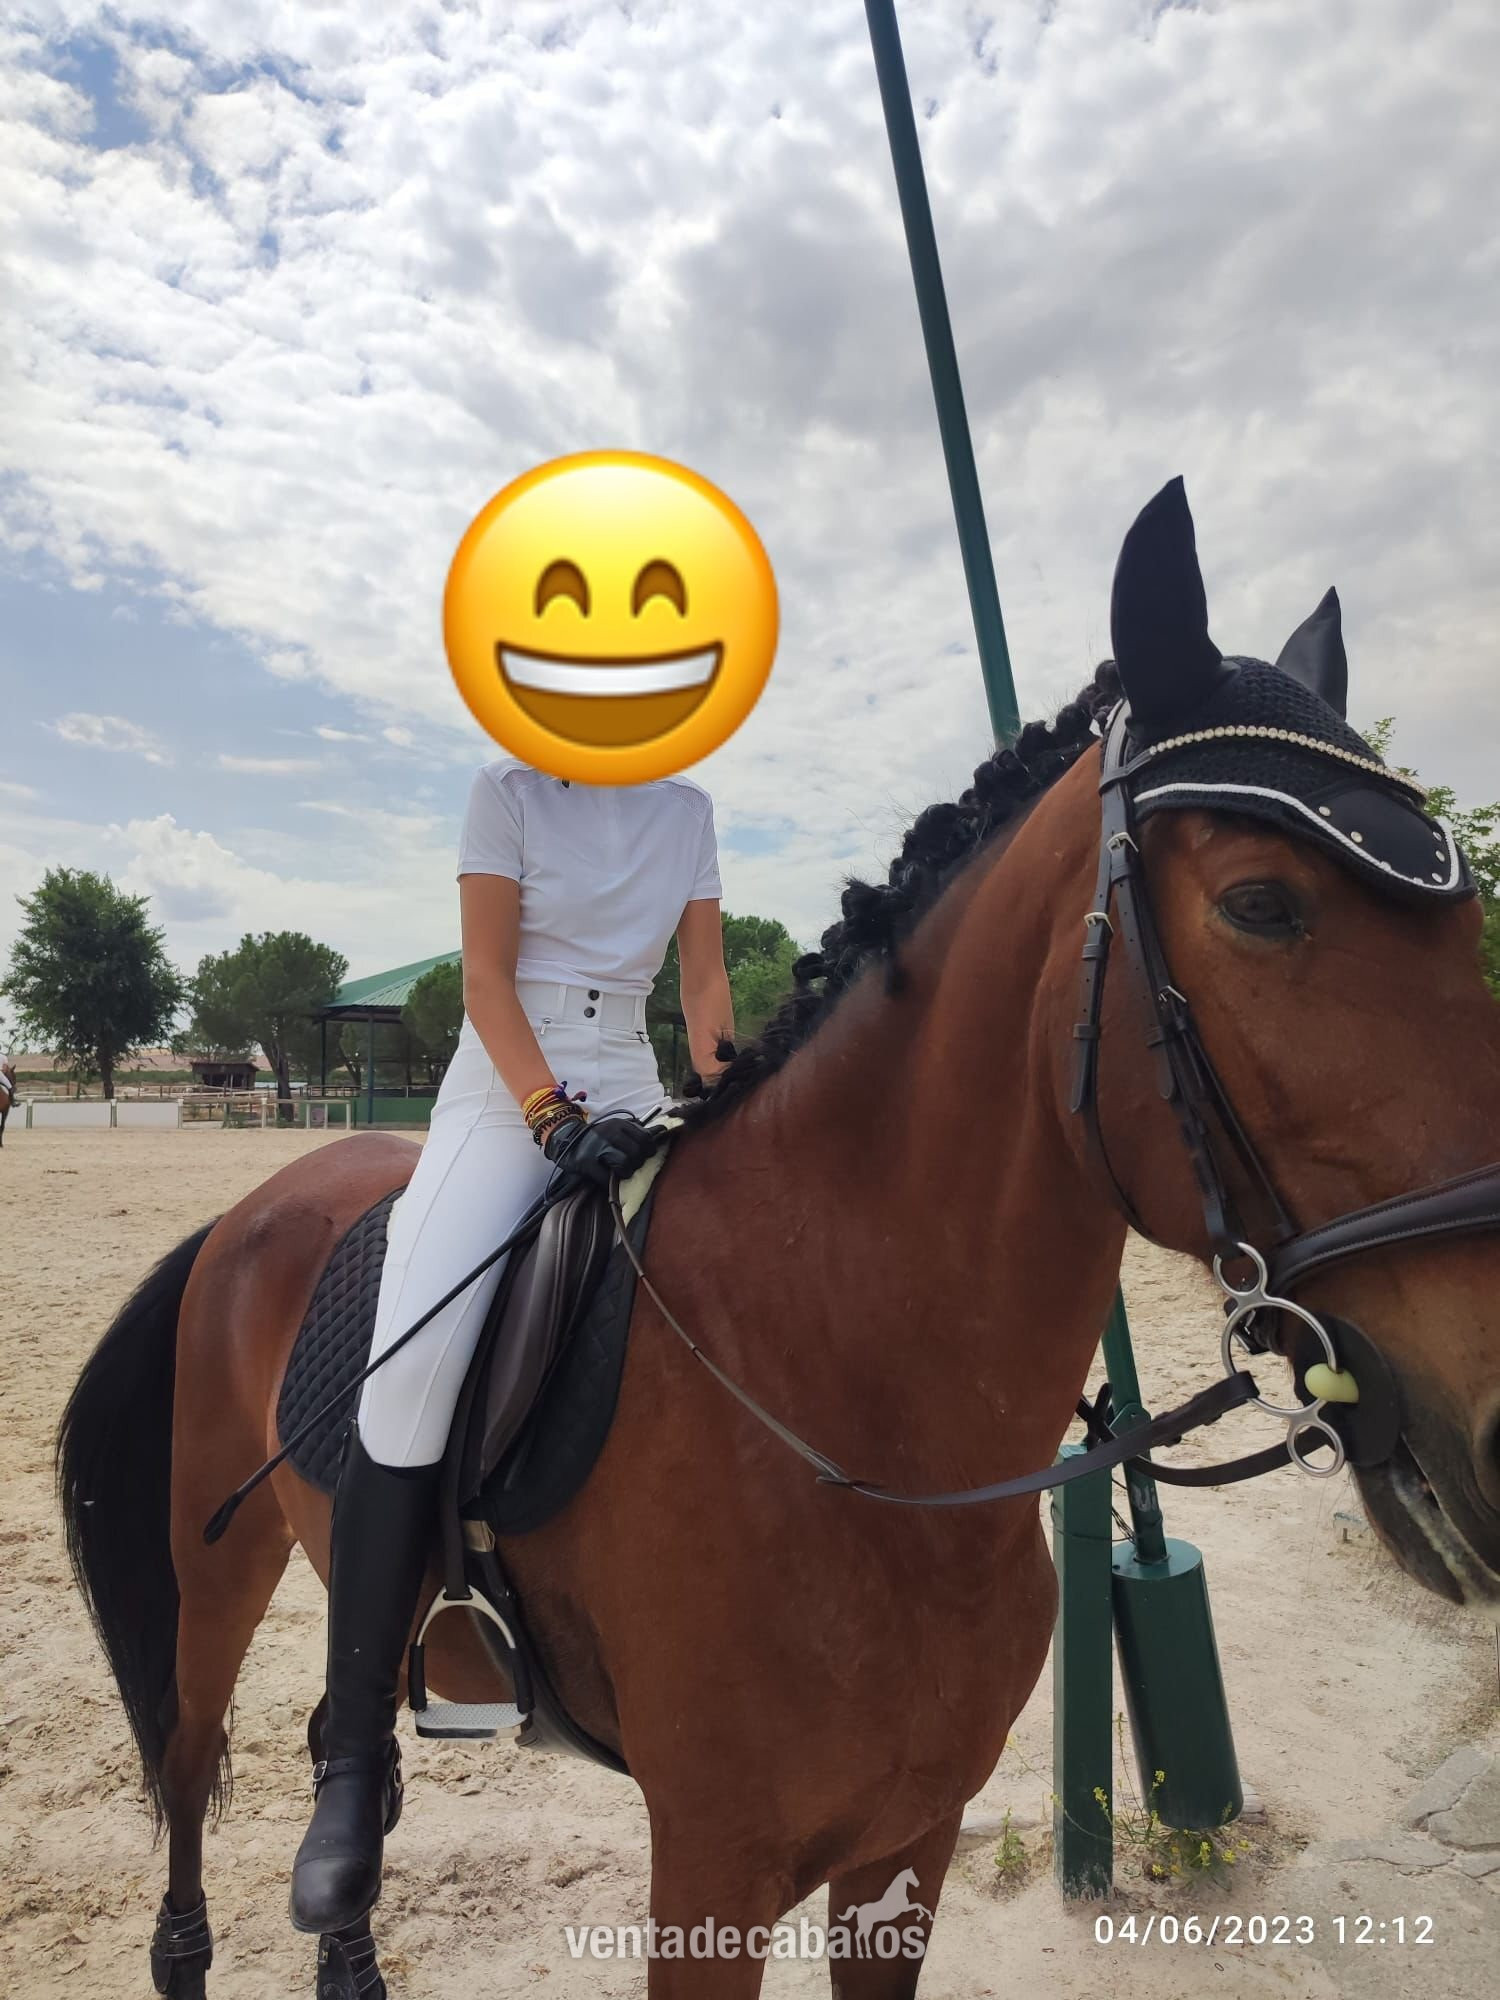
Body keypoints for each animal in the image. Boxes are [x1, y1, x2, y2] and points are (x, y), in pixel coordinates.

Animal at [56, 484, 1500, 1998]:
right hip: (218, 1570)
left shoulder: (910, 1842)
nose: (1495, 1434)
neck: (855, 1415)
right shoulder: (713, 1865)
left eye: (1468, 916)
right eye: (1262, 905)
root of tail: (253, 1205)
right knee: (192, 1756)